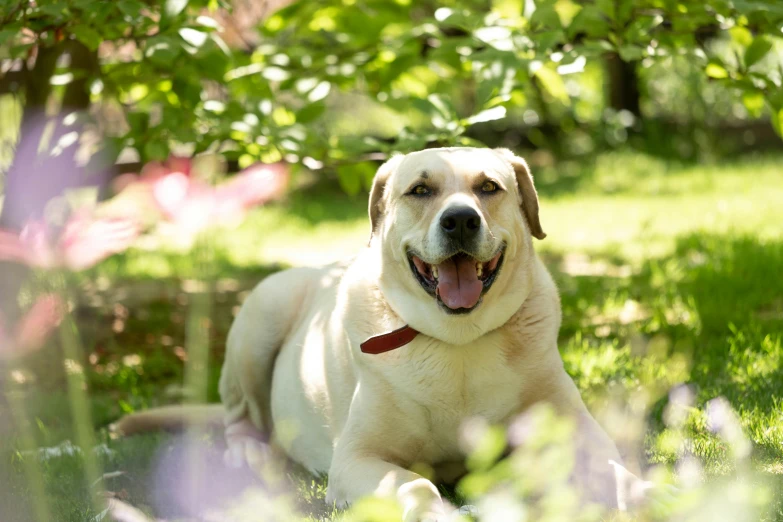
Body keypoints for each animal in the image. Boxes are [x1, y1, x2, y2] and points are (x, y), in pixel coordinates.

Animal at [118, 147, 644, 520]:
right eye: (420, 190)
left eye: (488, 187)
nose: (460, 220)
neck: (458, 341)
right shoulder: (357, 459)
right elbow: (416, 484)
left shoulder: (576, 429)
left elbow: (610, 466)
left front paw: (643, 491)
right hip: (261, 316)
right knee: (239, 416)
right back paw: (249, 449)